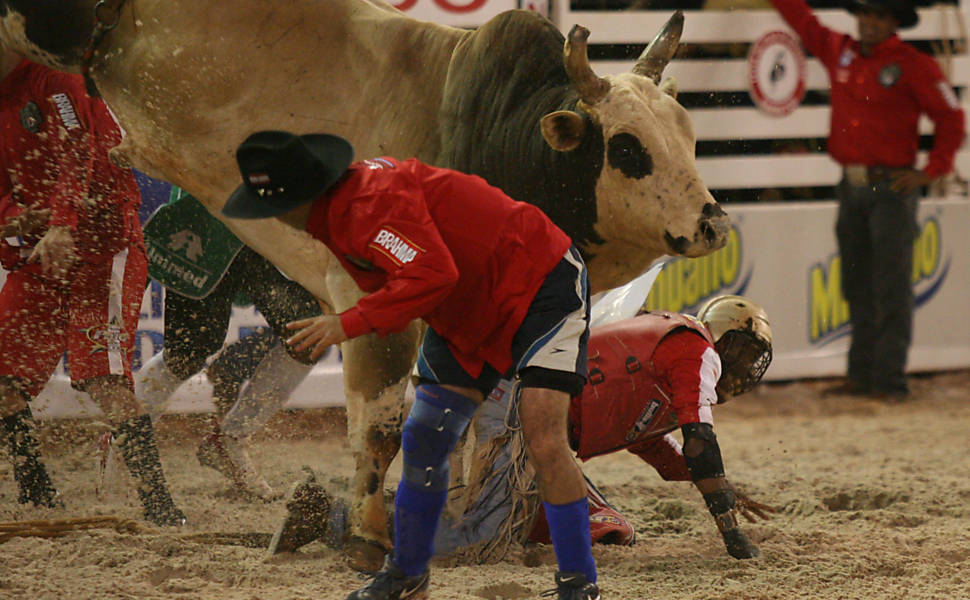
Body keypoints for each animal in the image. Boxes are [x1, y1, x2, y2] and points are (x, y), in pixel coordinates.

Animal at [0, 0, 728, 568]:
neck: (488, 136)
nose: (714, 223)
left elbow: (469, 426)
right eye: (629, 148)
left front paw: (456, 525)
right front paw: (371, 539)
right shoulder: (375, 305)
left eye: (690, 136)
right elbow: (381, 427)